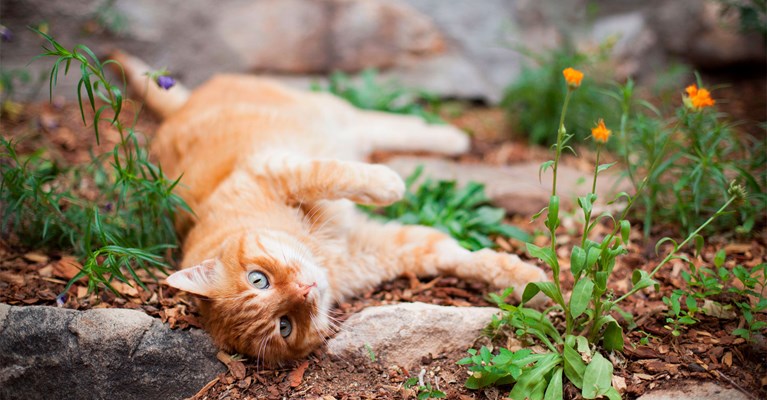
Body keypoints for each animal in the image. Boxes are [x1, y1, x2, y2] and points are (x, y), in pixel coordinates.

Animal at [114, 51, 548, 364]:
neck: (322, 252)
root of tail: (180, 109)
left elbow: (333, 173)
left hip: (328, 111)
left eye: (258, 279)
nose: (306, 289)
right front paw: (532, 284)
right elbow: (464, 257)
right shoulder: (393, 248)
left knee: (382, 123)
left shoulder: (273, 170)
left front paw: (389, 184)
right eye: (285, 325)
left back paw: (451, 137)